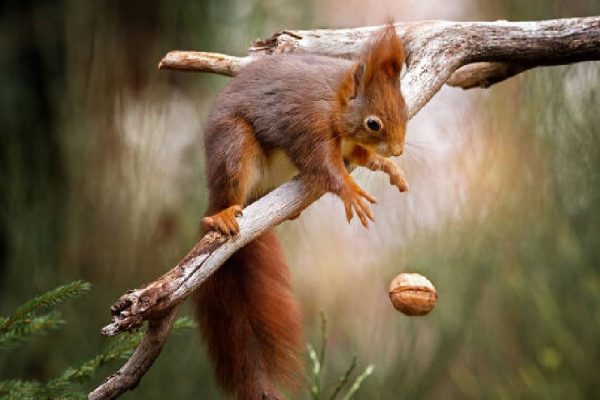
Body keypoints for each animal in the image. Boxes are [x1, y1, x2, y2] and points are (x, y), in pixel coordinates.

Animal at [195, 25, 410, 400]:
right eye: (374, 123)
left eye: (406, 107)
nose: (397, 150)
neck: (335, 100)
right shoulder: (306, 122)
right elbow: (322, 165)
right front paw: (350, 191)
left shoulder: (348, 146)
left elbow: (360, 157)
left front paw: (387, 167)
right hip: (233, 148)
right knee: (228, 191)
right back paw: (221, 215)